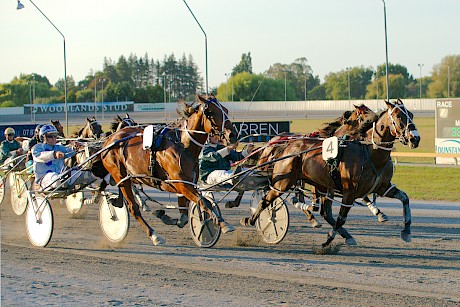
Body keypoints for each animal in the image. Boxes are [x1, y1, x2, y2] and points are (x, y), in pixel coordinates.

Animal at [93, 94, 237, 245]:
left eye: (226, 110)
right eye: (211, 112)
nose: (232, 135)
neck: (183, 145)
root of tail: (108, 141)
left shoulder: (188, 184)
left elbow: (185, 215)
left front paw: (165, 216)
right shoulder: (181, 184)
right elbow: (203, 202)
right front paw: (223, 224)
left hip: (128, 177)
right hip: (120, 177)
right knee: (133, 208)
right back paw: (154, 235)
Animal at [244, 100, 420, 248]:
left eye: (411, 115)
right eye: (398, 116)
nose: (415, 138)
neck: (370, 152)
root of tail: (286, 146)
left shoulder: (383, 187)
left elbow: (405, 199)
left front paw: (406, 231)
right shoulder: (349, 192)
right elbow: (341, 218)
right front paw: (328, 239)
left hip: (318, 184)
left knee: (324, 212)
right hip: (283, 182)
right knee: (266, 200)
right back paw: (252, 220)